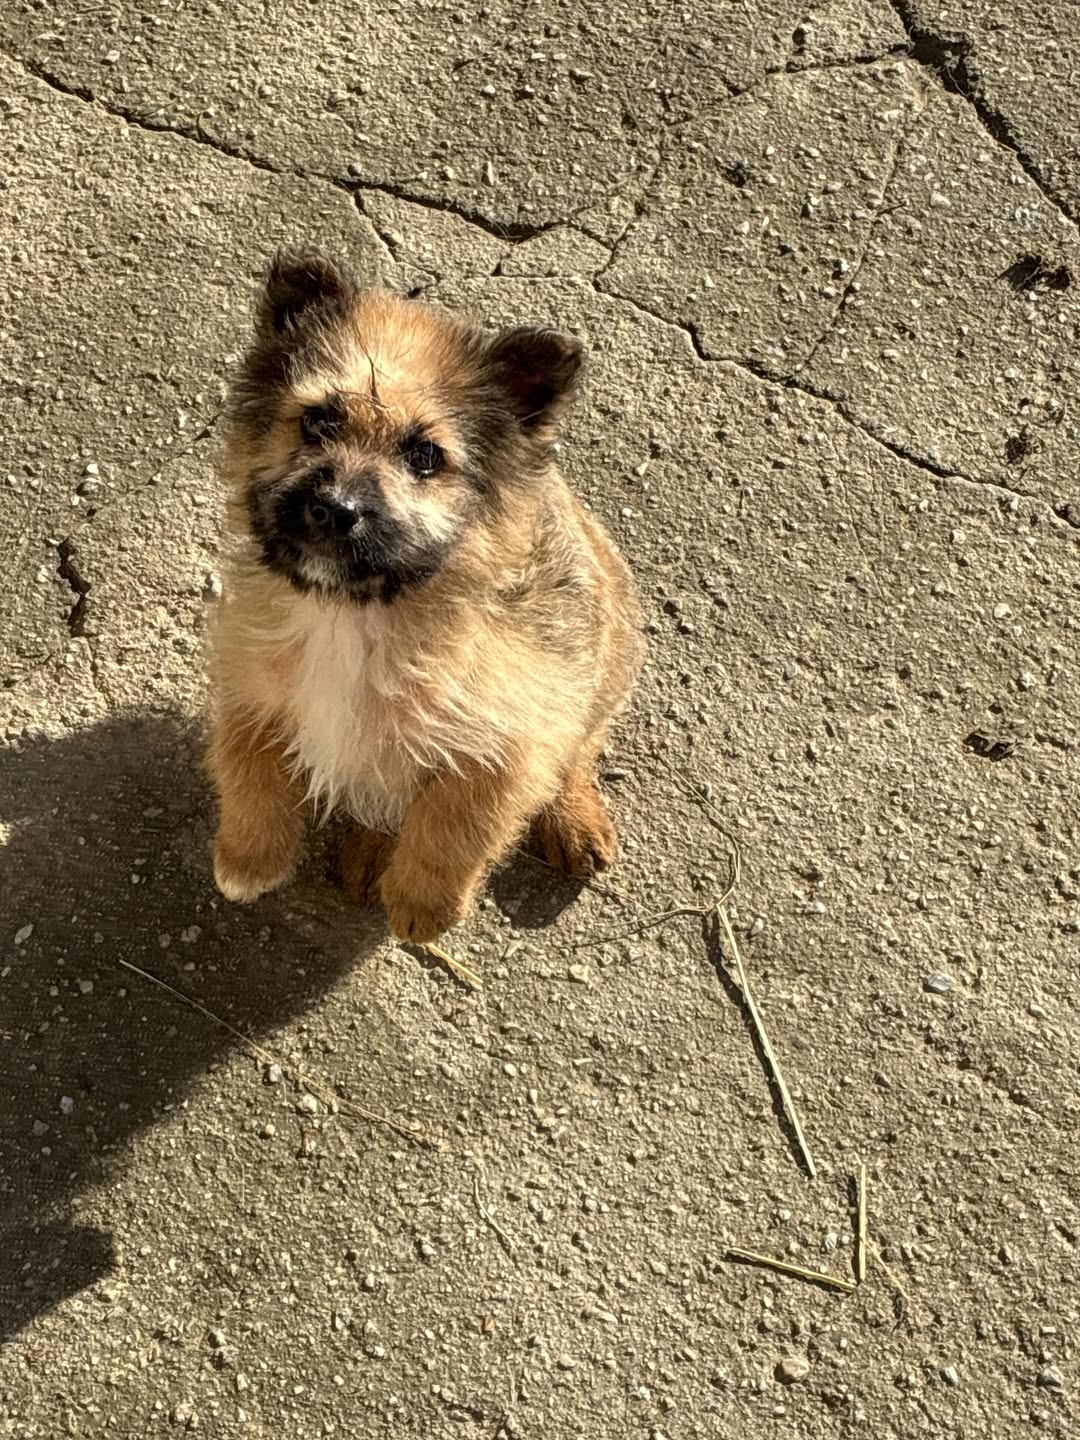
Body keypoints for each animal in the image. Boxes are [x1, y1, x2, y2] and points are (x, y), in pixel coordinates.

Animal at [207, 249, 643, 943]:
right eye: (318, 421)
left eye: (424, 456)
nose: (334, 509)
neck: (358, 613)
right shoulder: (252, 683)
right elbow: (246, 767)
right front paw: (249, 859)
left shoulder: (507, 741)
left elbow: (455, 823)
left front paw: (424, 903)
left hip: (600, 672)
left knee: (577, 750)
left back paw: (574, 818)